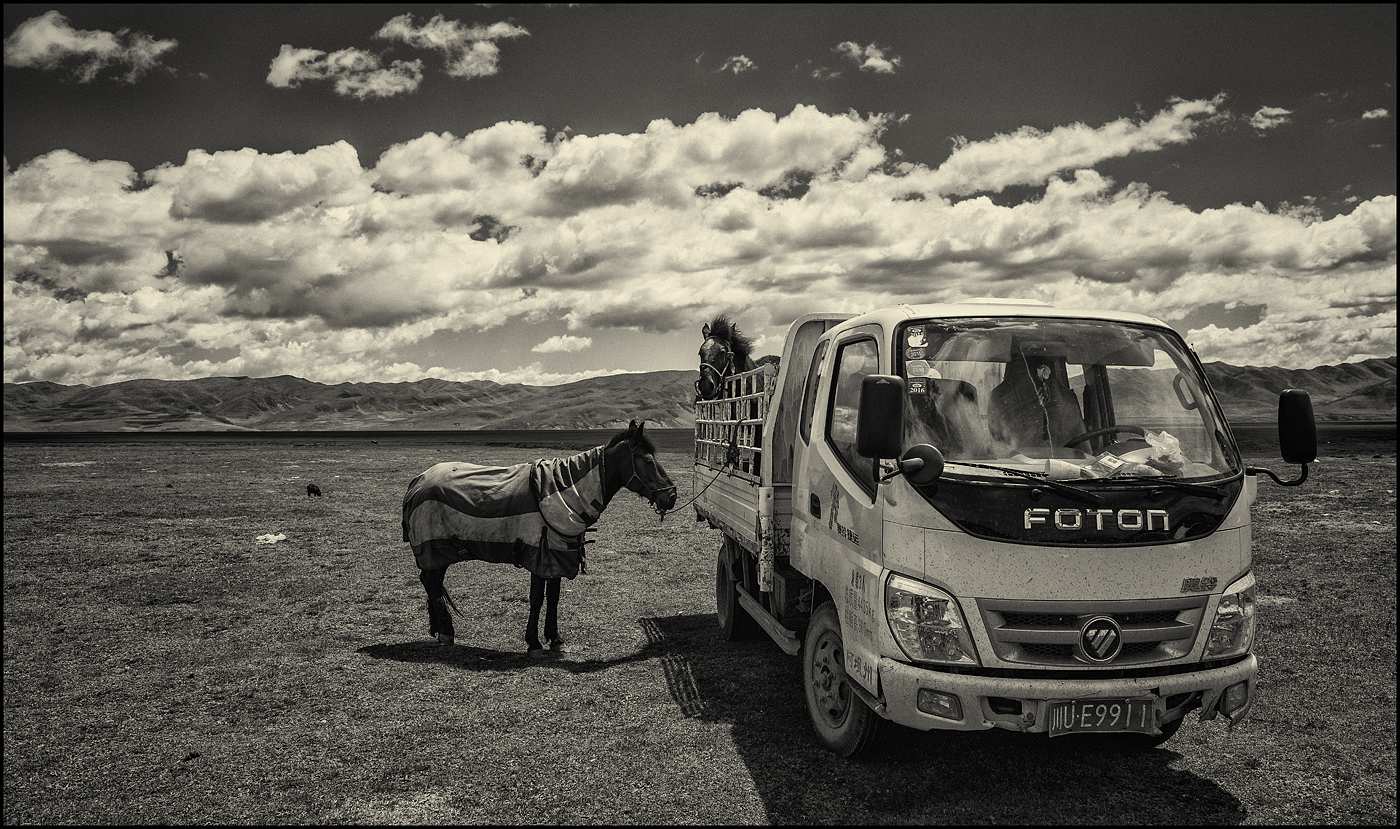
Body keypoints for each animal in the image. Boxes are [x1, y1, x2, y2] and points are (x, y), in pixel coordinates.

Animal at [403, 420, 674, 655]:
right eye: (648, 460)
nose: (672, 495)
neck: (566, 491)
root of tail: (418, 480)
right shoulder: (538, 553)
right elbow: (536, 599)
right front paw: (533, 643)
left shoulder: (558, 553)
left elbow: (553, 598)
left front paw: (555, 639)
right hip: (433, 546)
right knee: (430, 581)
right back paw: (447, 631)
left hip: (442, 550)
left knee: (432, 582)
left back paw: (440, 629)